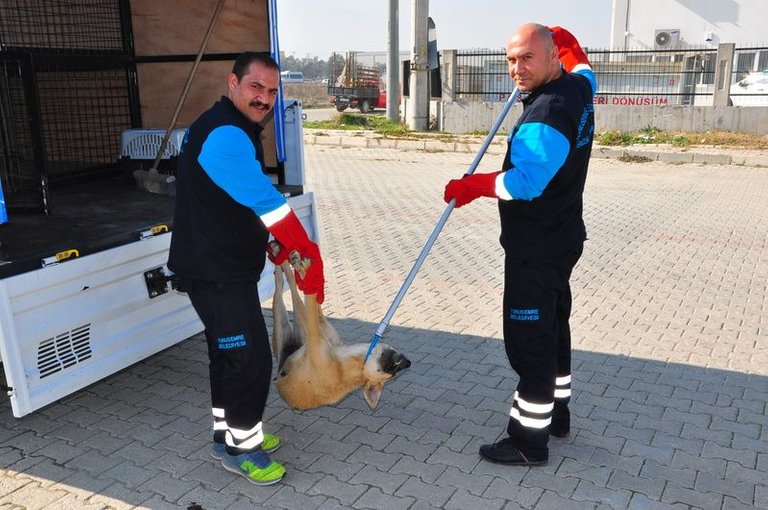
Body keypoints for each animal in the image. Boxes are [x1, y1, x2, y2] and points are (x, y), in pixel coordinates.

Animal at [272, 244, 412, 410]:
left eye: (391, 368)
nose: (405, 361)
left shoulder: (314, 333)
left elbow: (309, 298)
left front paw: (301, 268)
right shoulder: (323, 328)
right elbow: (318, 305)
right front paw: (303, 269)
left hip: (288, 321)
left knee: (284, 287)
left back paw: (280, 261)